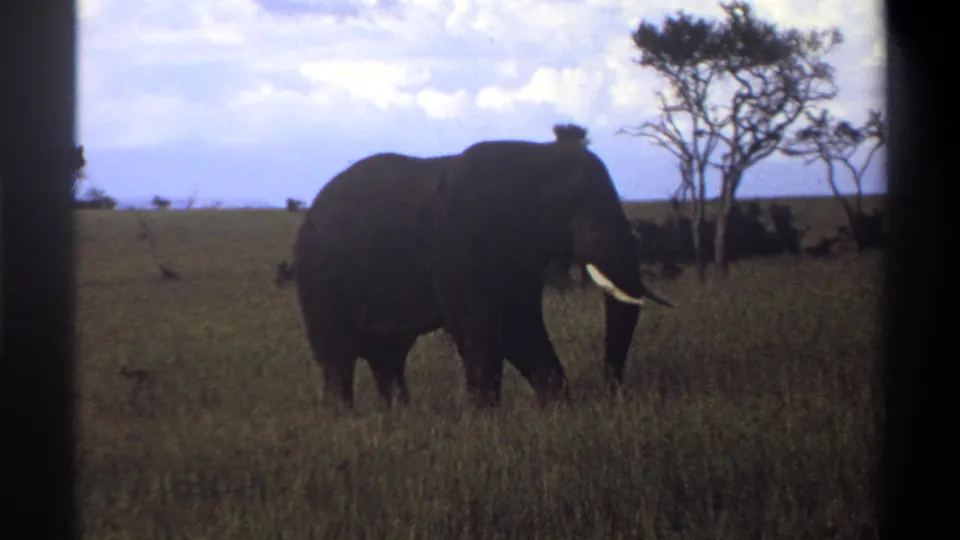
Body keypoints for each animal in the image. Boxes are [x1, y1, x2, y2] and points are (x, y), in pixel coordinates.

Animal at [291, 139, 675, 411]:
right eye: (573, 209)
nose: (612, 393)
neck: (534, 157)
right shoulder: (456, 244)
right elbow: (478, 328)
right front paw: (485, 418)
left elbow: (520, 329)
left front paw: (557, 408)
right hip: (318, 275)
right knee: (337, 356)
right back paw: (345, 419)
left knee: (388, 356)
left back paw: (398, 416)